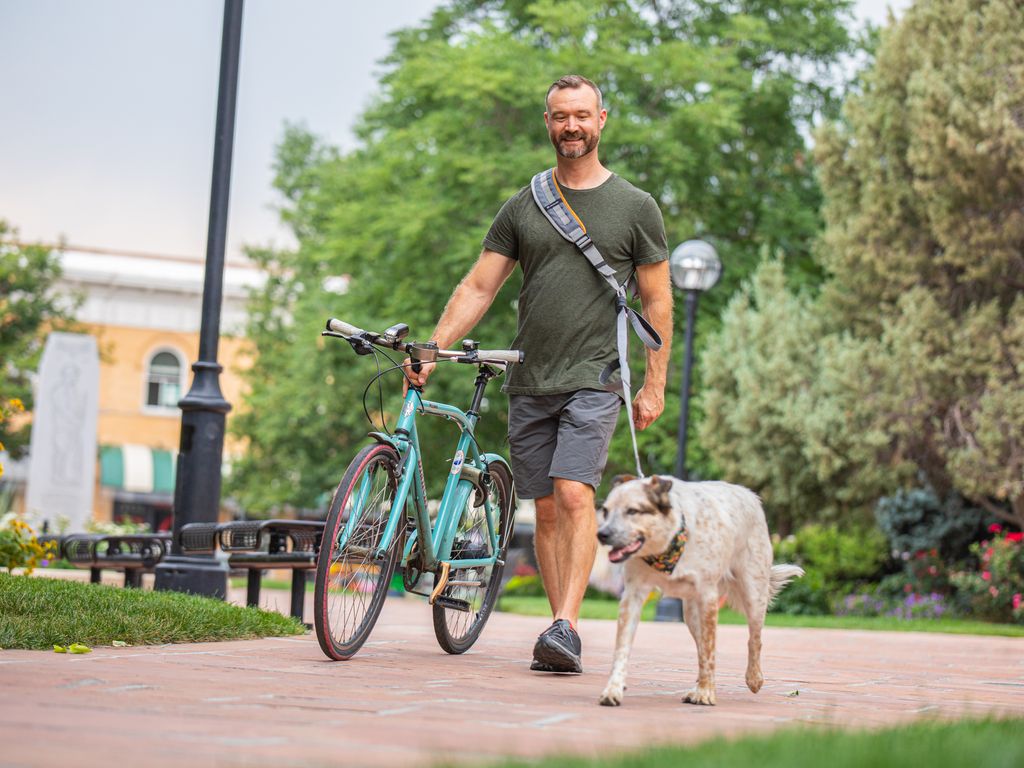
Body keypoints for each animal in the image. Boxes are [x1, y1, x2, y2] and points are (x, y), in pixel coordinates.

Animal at [598, 475, 802, 708]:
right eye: (605, 511)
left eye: (633, 511)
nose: (602, 534)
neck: (667, 548)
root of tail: (750, 494)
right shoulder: (632, 595)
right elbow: (622, 648)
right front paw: (613, 690)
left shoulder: (708, 596)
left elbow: (709, 651)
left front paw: (706, 693)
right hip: (691, 613)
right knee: (701, 648)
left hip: (753, 593)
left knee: (754, 639)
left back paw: (753, 678)